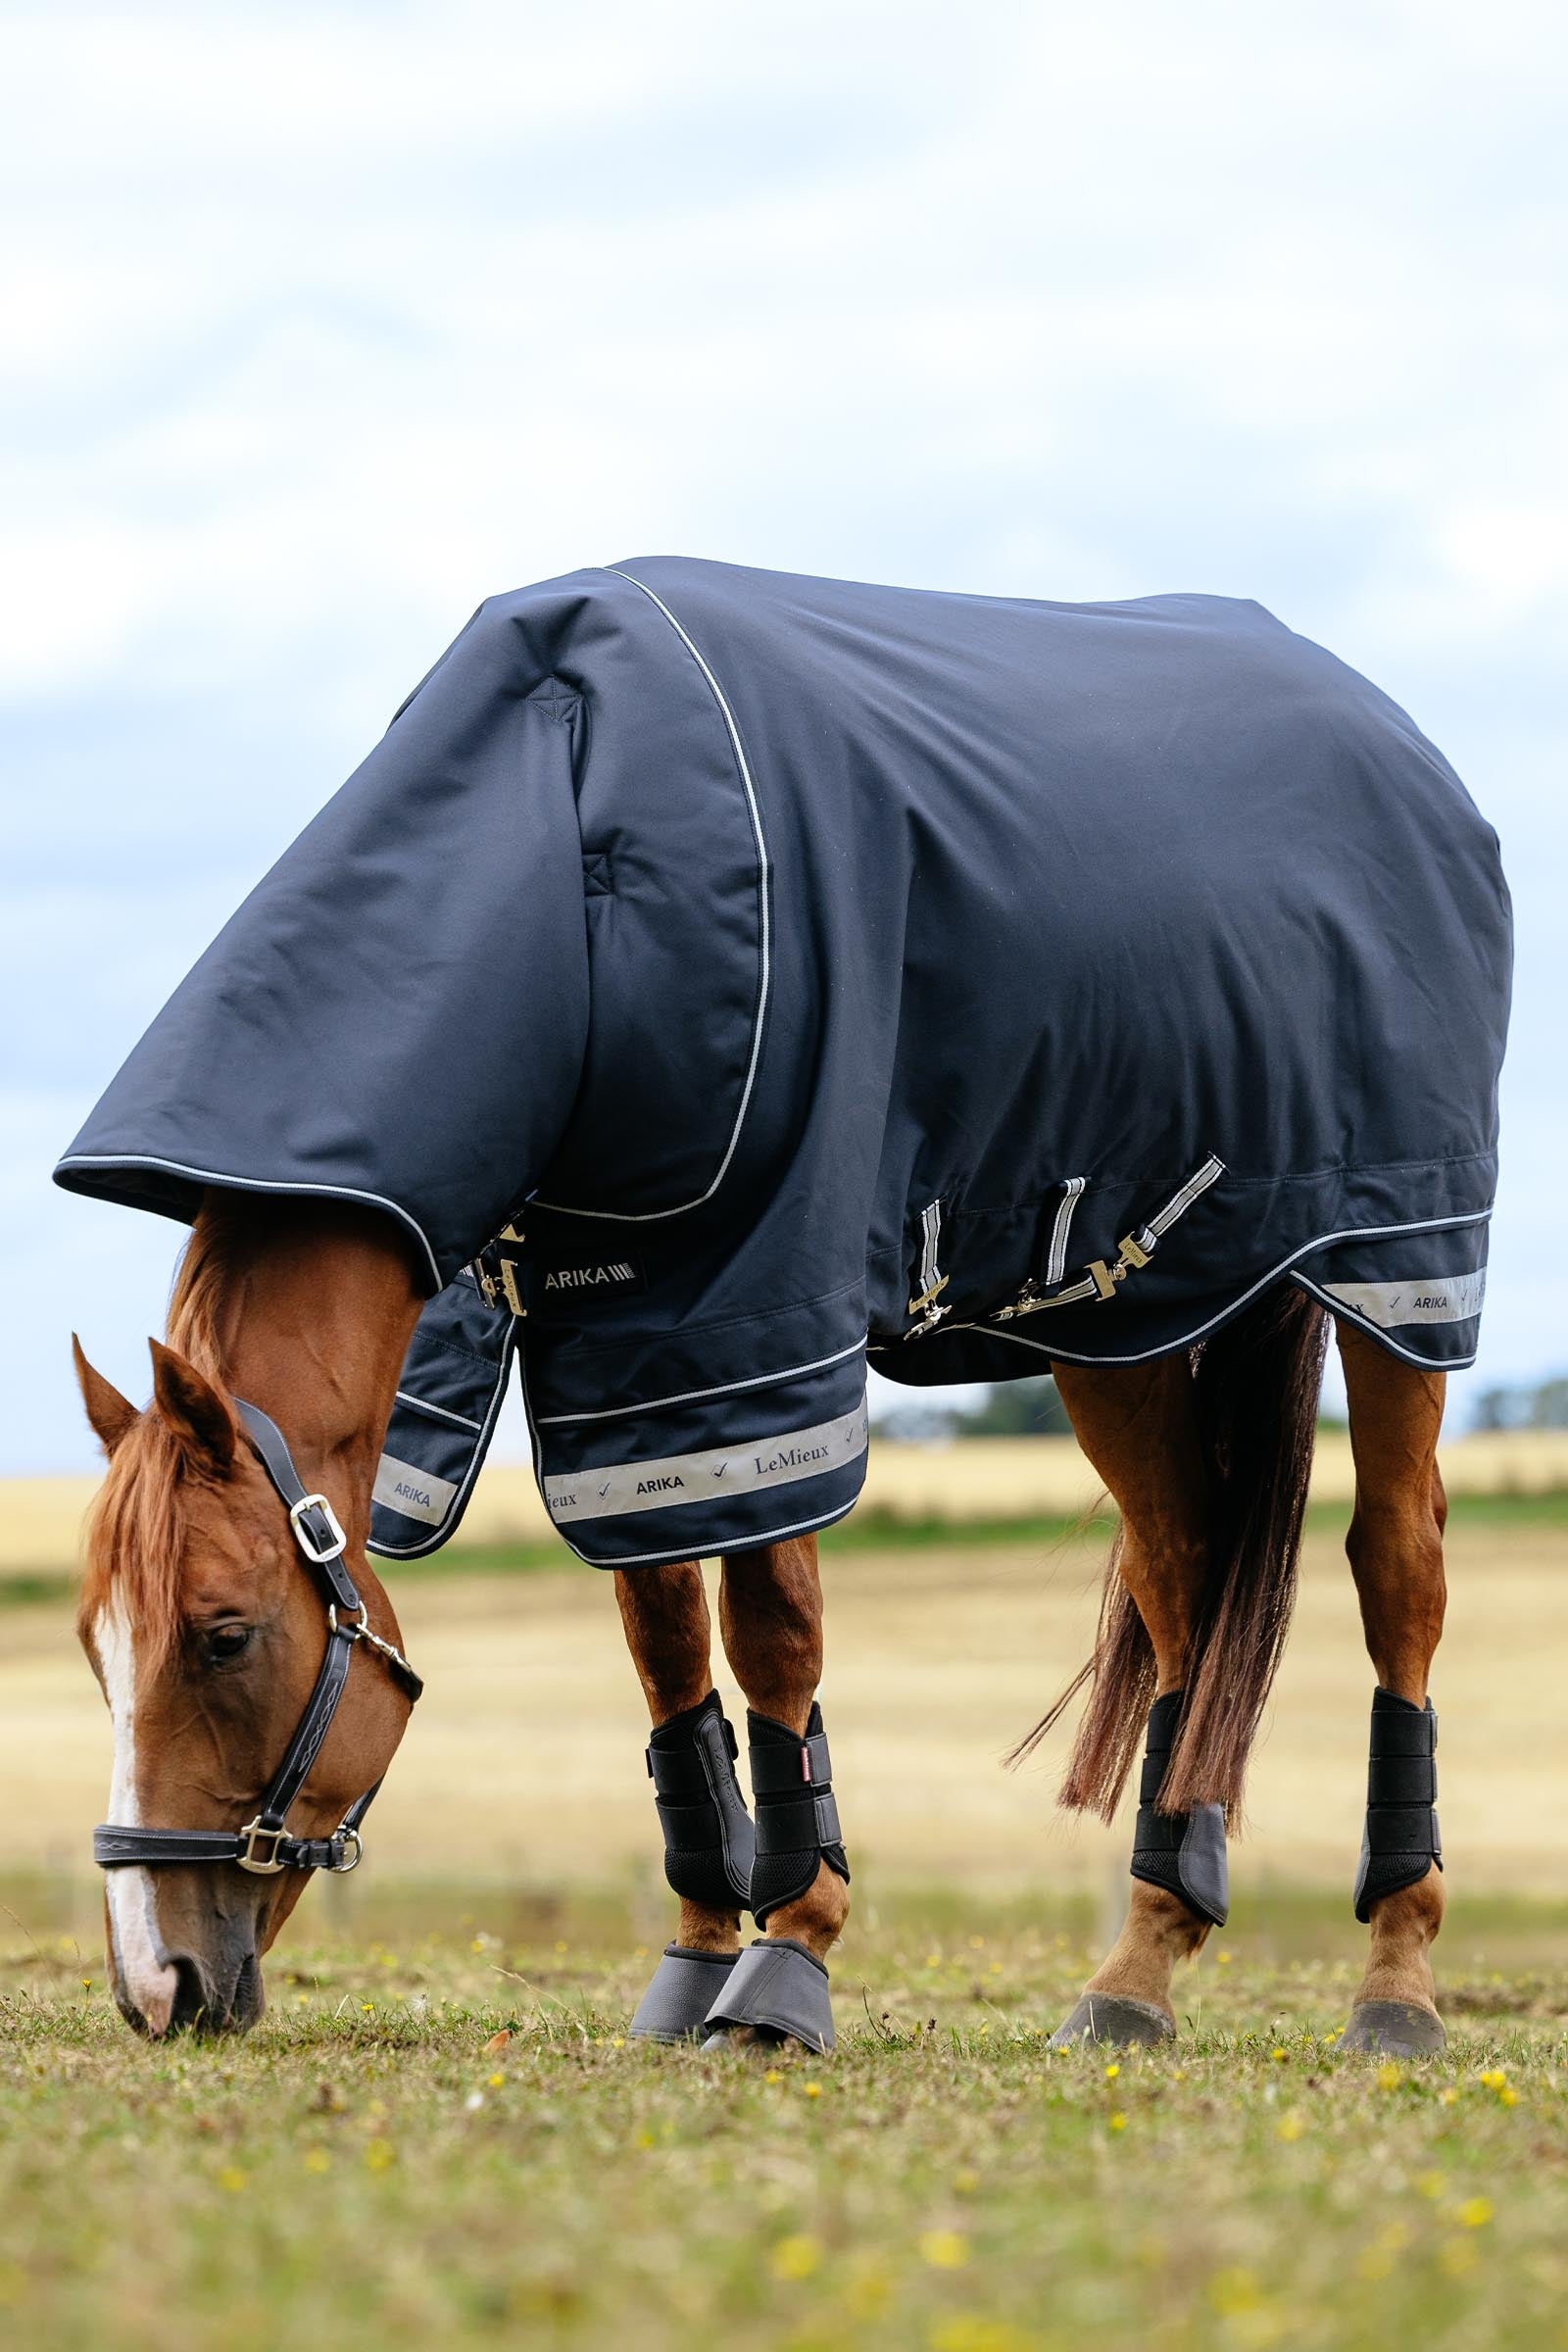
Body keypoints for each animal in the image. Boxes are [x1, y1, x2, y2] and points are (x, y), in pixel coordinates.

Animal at [62, 556, 1508, 2052]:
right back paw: (1136, 1970)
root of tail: (1390, 735)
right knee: (1183, 1580)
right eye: (95, 1650)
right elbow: (664, 1650)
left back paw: (1395, 1983)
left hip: (1395, 1263)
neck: (569, 838)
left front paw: (787, 1963)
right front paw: (696, 1958)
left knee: (1398, 1566)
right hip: (1125, 1325)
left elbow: (772, 1633)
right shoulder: (618, 1356)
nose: (157, 1986)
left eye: (224, 1637)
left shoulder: (757, 1310)